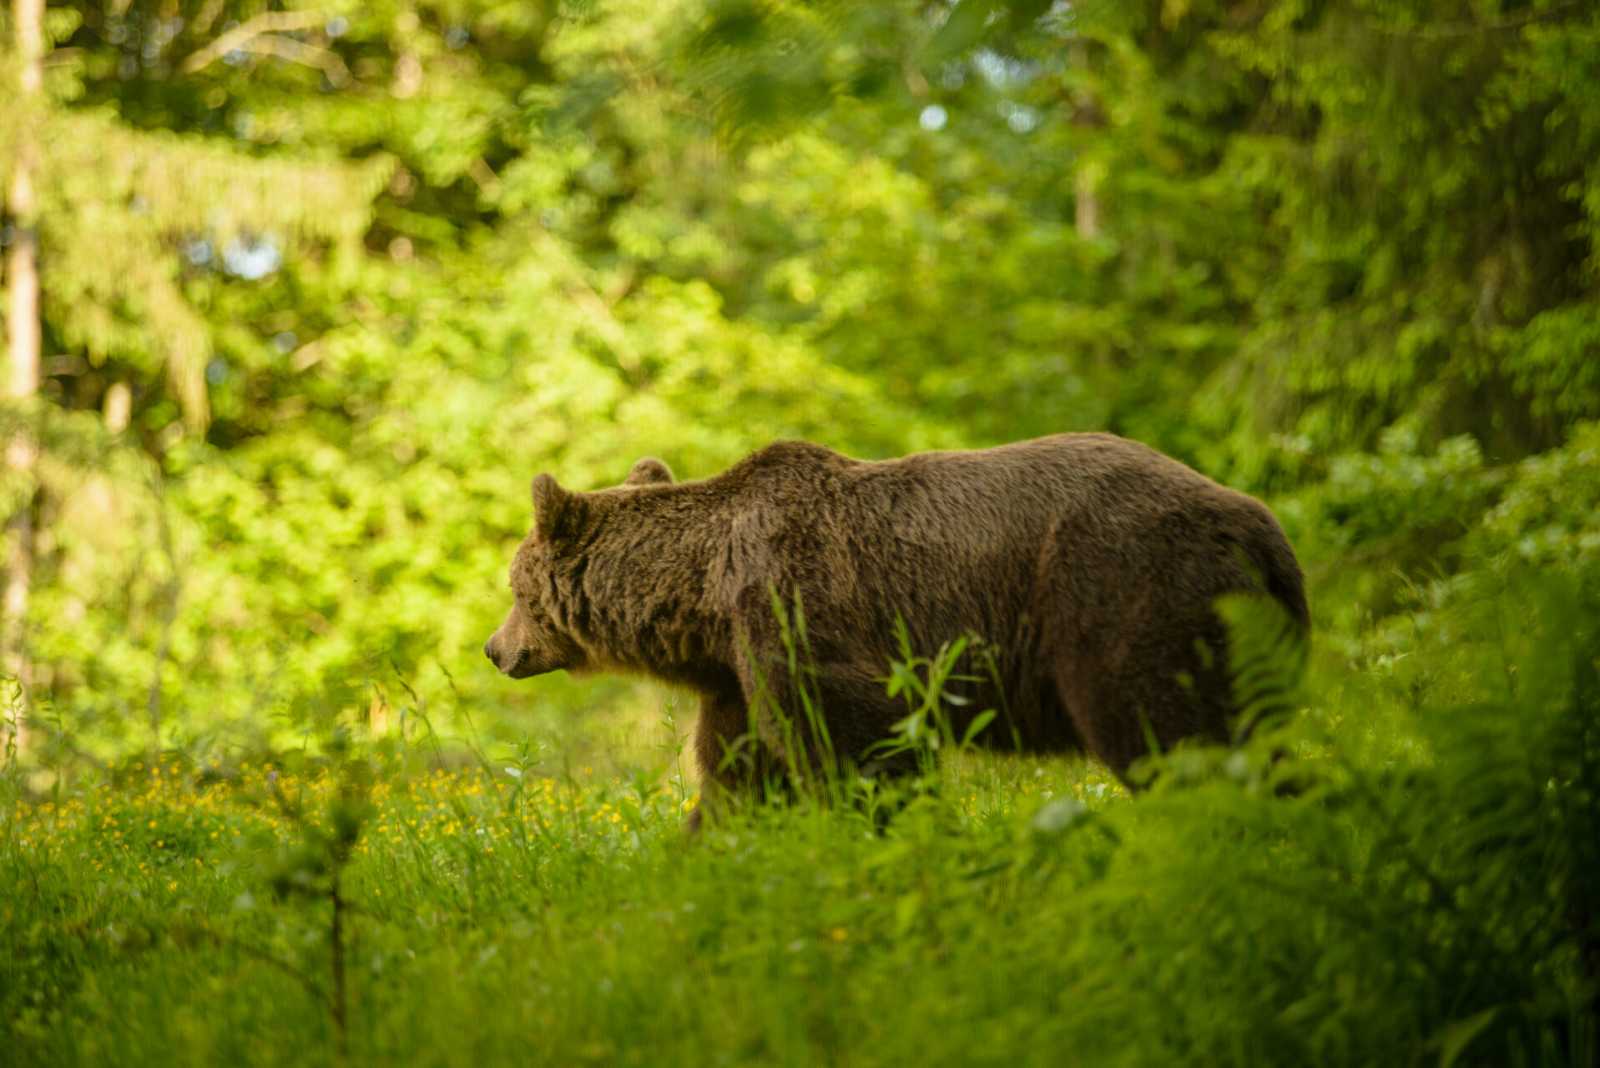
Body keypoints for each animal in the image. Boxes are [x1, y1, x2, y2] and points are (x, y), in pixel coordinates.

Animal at [486, 434, 1312, 824]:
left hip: (1125, 591)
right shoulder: (738, 680)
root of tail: (1263, 526)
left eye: (514, 585)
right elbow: (741, 776)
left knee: (1173, 734)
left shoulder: (798, 611)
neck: (705, 600)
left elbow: (861, 749)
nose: (496, 649)